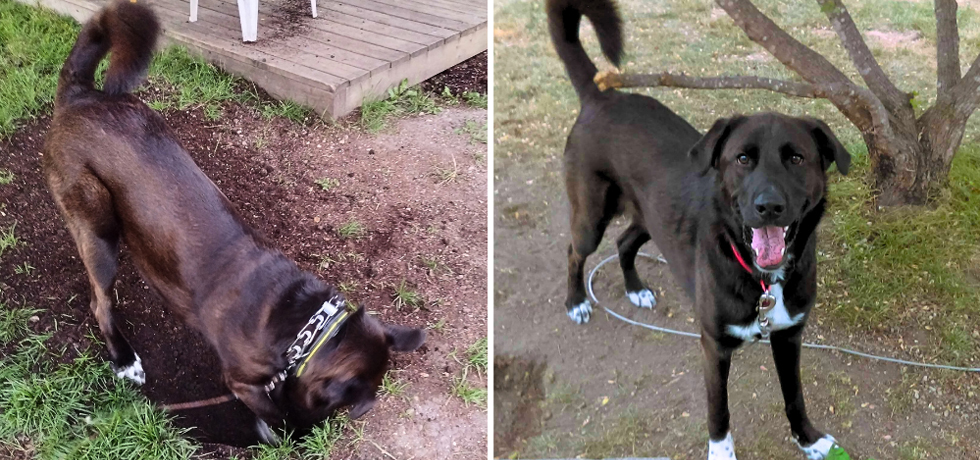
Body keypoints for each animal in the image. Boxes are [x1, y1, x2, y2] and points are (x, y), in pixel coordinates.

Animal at [548, 1, 852, 458]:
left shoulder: (788, 337)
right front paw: (722, 452)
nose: (768, 207)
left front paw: (808, 439)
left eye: (797, 158)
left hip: (648, 216)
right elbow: (718, 411)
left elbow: (795, 395)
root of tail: (603, 95)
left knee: (625, 241)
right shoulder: (714, 347)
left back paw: (635, 288)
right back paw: (576, 301)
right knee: (575, 251)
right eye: (742, 159)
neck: (762, 280)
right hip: (591, 215)